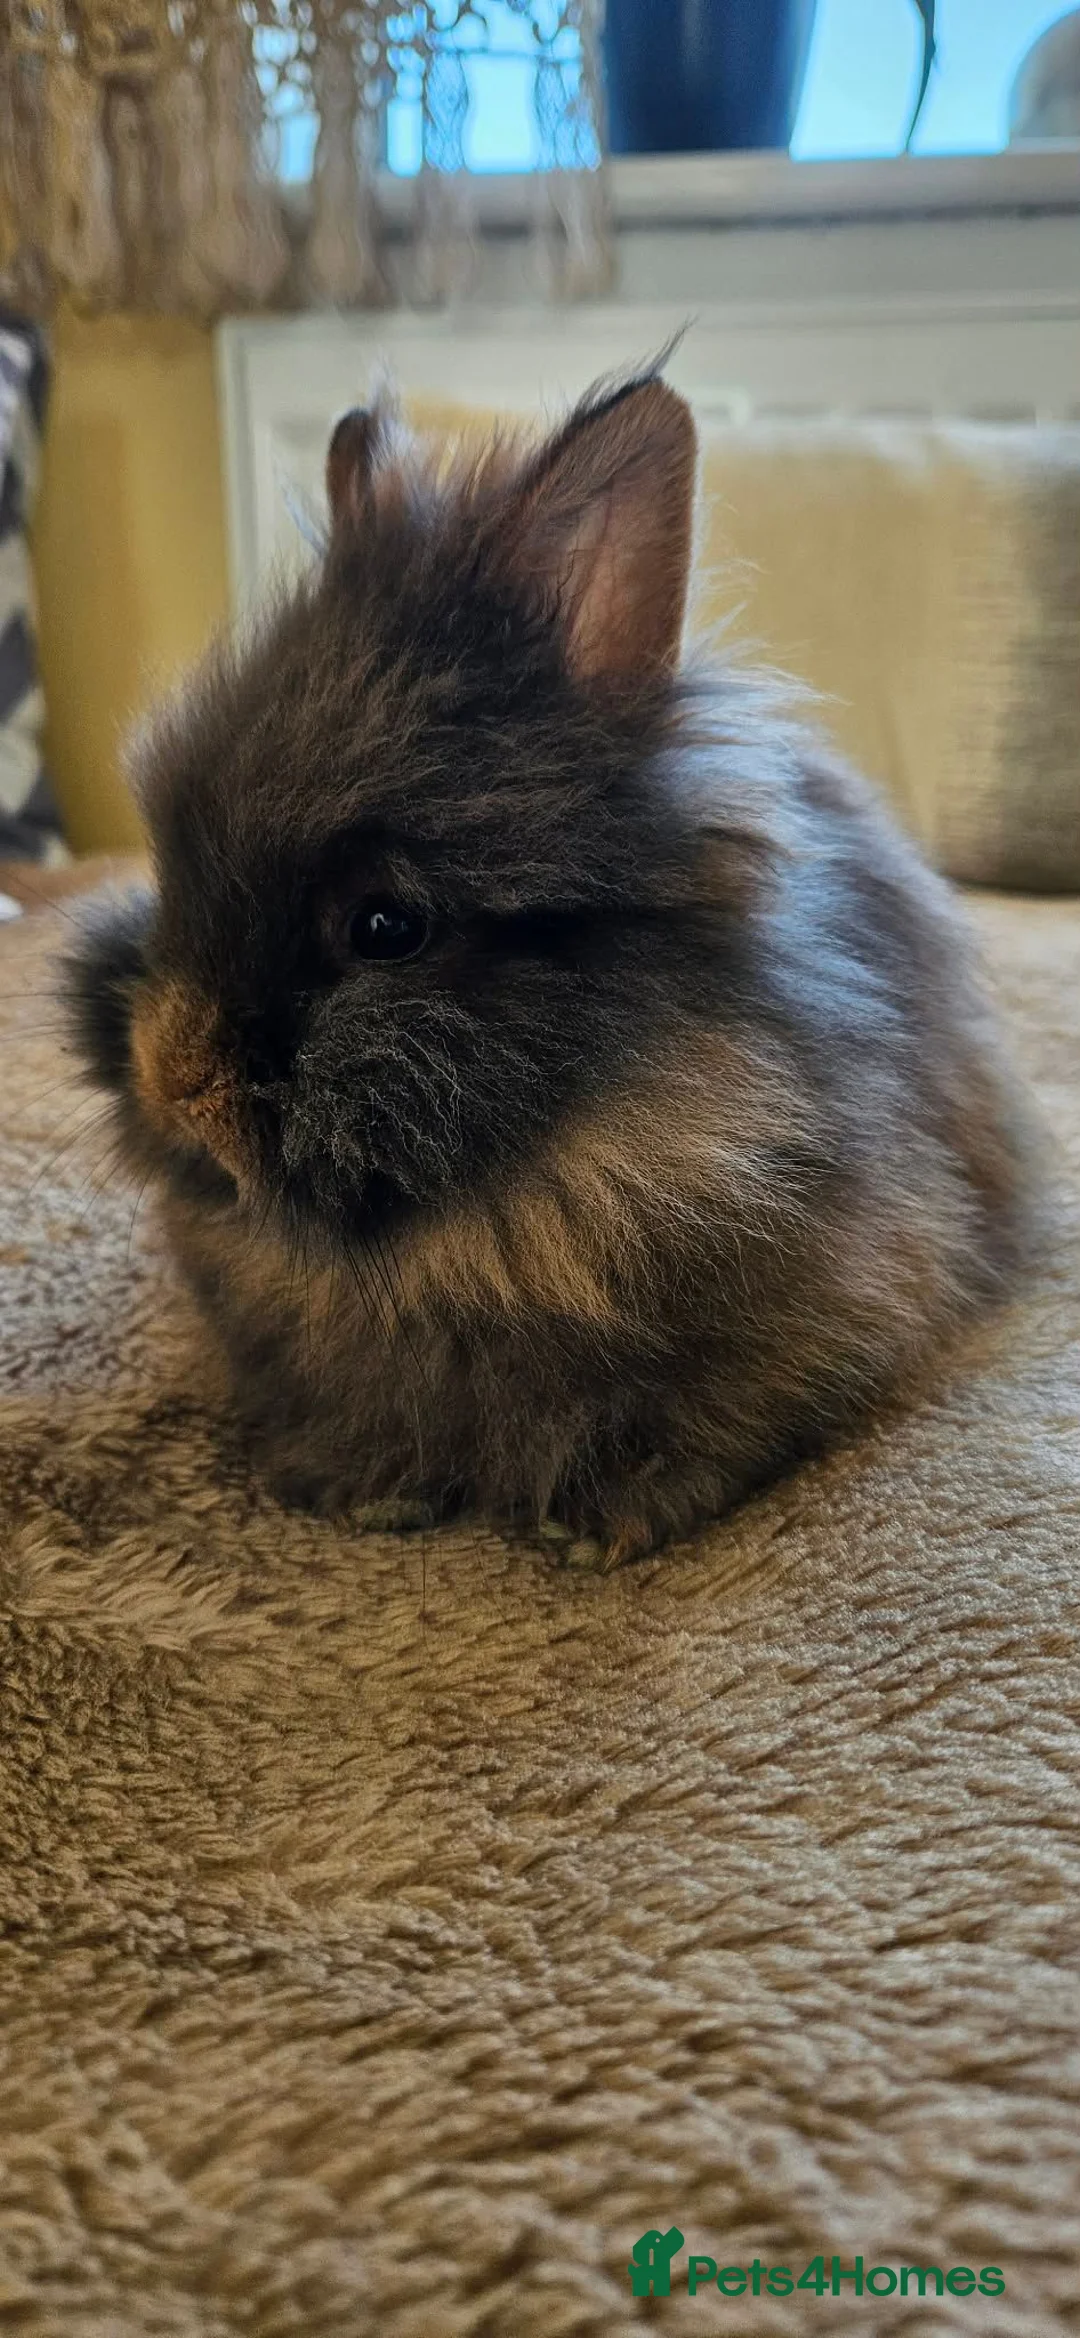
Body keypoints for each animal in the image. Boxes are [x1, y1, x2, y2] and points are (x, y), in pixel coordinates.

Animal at [66, 365, 1032, 1568]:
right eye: (165, 865)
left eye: (385, 926)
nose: (174, 1082)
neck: (497, 1218)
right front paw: (366, 1495)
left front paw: (597, 1528)